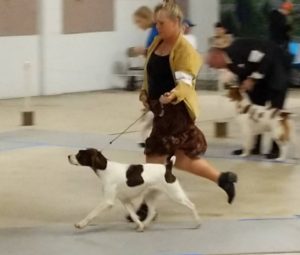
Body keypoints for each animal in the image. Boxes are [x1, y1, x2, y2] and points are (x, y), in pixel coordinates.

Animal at [67, 148, 200, 232]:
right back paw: (145, 225)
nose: (68, 156)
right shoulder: (125, 201)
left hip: (175, 194)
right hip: (150, 196)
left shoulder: (107, 201)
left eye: (79, 154)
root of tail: (168, 167)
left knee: (192, 205)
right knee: (152, 212)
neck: (105, 169)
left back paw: (198, 223)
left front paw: (80, 224)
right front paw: (140, 225)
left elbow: (92, 213)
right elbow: (134, 215)